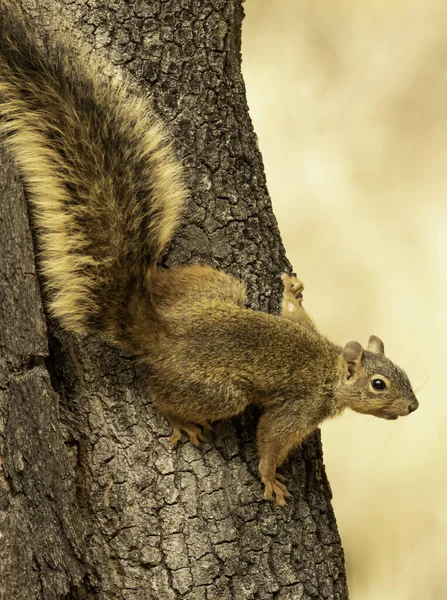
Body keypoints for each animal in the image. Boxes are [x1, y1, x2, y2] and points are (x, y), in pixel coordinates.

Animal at [0, 1, 420, 506]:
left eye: (402, 371)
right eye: (379, 384)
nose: (414, 405)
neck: (330, 365)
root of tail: (164, 335)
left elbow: (295, 314)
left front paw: (293, 291)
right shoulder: (299, 406)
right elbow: (272, 436)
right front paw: (270, 478)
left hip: (218, 287)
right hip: (220, 393)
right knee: (161, 393)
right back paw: (180, 420)